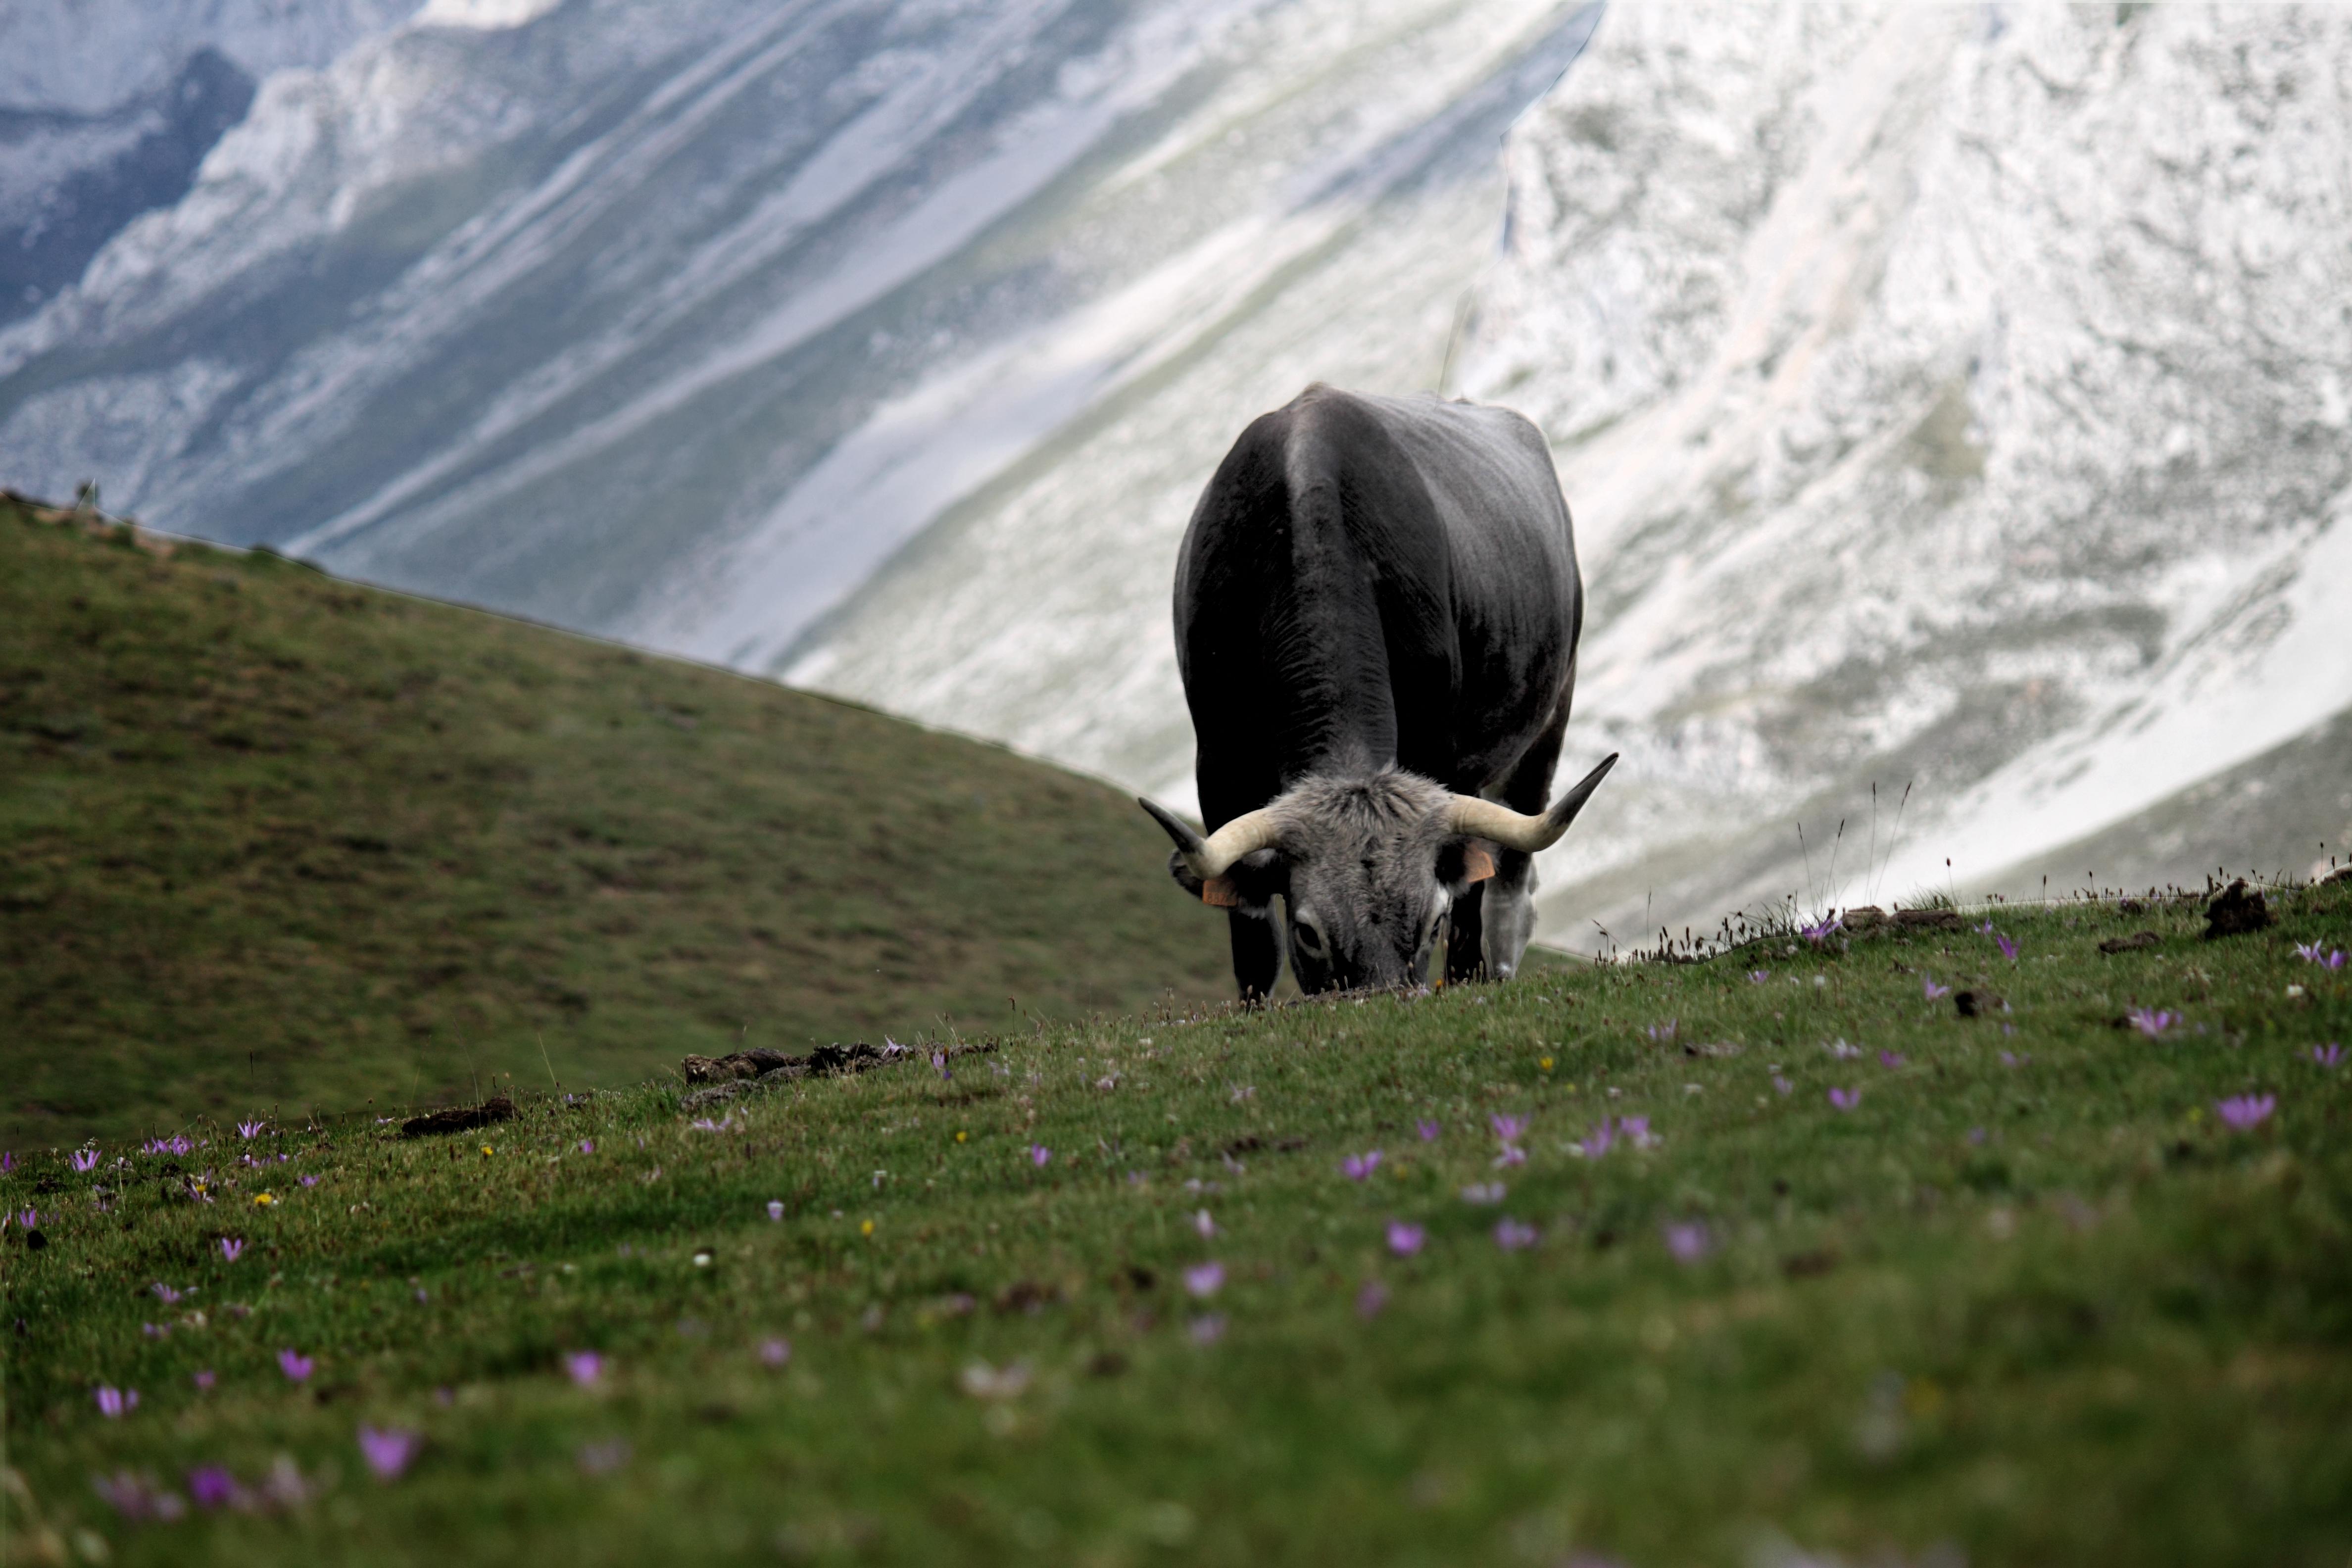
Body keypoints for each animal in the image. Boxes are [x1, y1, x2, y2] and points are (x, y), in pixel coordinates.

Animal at [1138, 383, 1618, 992]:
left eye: (1430, 920)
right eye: (1308, 934)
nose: (1384, 995)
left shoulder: (1445, 756)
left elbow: (1466, 903)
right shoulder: (1219, 766)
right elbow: (1254, 947)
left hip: (1548, 723)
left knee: (1504, 891)